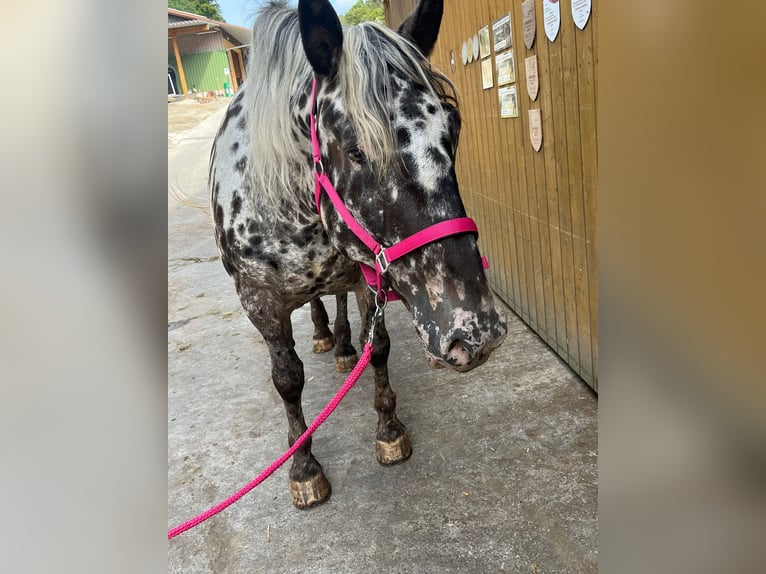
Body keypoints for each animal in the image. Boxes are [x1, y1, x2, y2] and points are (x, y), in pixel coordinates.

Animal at [210, 0, 510, 508]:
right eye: (355, 151)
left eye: (452, 128)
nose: (476, 333)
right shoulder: (260, 303)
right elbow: (287, 379)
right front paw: (304, 466)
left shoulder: (371, 277)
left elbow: (381, 349)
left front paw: (389, 432)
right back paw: (322, 336)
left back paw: (344, 345)